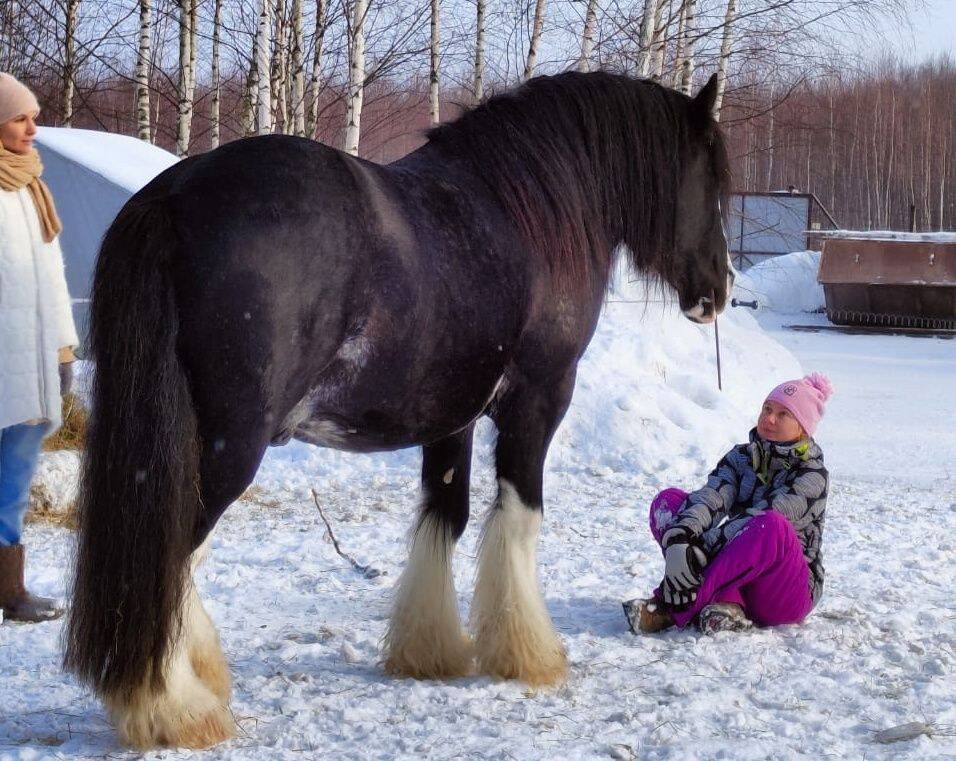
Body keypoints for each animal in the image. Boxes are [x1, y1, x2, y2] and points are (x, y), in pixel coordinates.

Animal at [63, 71, 732, 748]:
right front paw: (531, 655)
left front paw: (429, 651)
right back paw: (174, 707)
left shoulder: (450, 418)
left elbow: (445, 516)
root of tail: (171, 200)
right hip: (227, 447)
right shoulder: (538, 402)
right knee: (170, 560)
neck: (530, 212)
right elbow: (519, 520)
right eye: (714, 181)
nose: (719, 291)